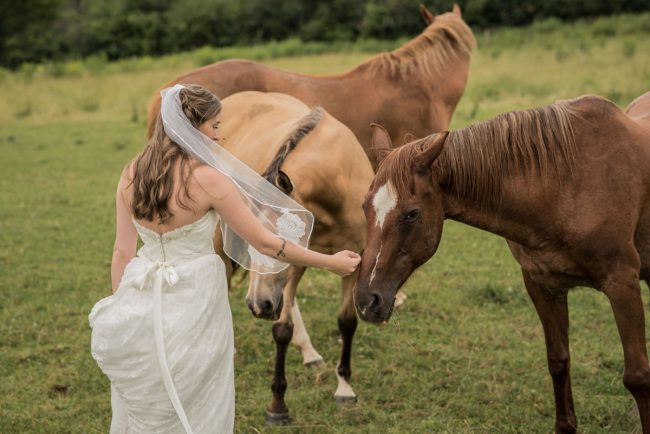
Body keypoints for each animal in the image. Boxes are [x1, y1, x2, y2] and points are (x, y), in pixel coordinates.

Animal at [218, 91, 374, 424]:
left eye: (284, 241)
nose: (258, 305)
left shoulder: (352, 259)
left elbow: (346, 322)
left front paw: (344, 389)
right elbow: (281, 329)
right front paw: (277, 405)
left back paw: (310, 354)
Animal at [353, 94, 650, 433]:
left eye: (411, 214)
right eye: (365, 206)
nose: (366, 300)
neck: (566, 185)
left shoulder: (622, 283)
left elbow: (638, 376)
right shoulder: (543, 286)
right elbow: (558, 361)